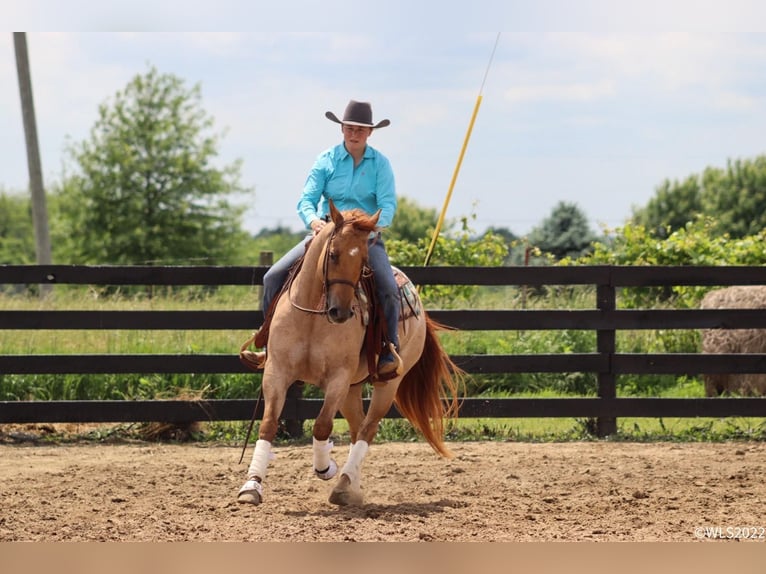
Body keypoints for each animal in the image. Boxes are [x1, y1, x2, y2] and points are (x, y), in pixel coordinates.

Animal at [237, 200, 462, 506]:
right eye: (332, 255)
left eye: (364, 260)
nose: (340, 312)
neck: (313, 315)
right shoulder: (277, 372)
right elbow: (269, 424)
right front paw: (252, 485)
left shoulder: (338, 379)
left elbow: (322, 426)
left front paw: (325, 468)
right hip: (353, 388)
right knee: (357, 429)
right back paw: (351, 483)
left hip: (386, 384)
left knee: (368, 429)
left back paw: (343, 484)